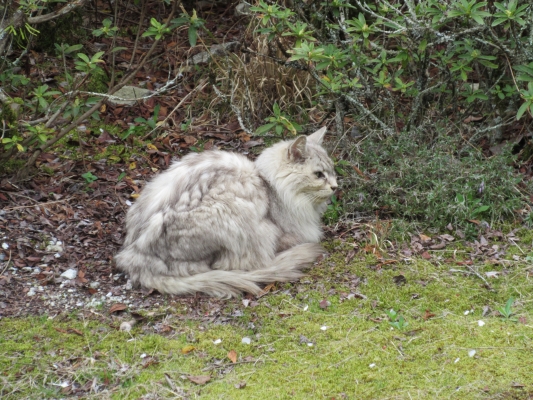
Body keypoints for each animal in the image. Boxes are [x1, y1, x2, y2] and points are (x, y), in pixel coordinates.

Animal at [115, 127, 337, 298]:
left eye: (332, 171)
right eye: (319, 175)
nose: (335, 186)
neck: (270, 186)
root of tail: (135, 256)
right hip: (235, 215)